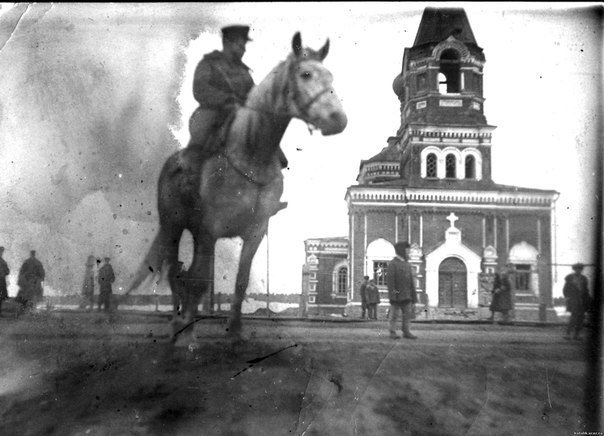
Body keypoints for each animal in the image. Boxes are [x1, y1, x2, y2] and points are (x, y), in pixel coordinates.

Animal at [127, 32, 347, 345]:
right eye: (305, 74)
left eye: (330, 76)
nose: (338, 120)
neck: (251, 155)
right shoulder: (210, 231)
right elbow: (199, 280)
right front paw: (189, 334)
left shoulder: (255, 232)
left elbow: (240, 282)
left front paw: (235, 331)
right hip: (173, 227)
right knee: (176, 272)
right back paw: (176, 323)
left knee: (184, 273)